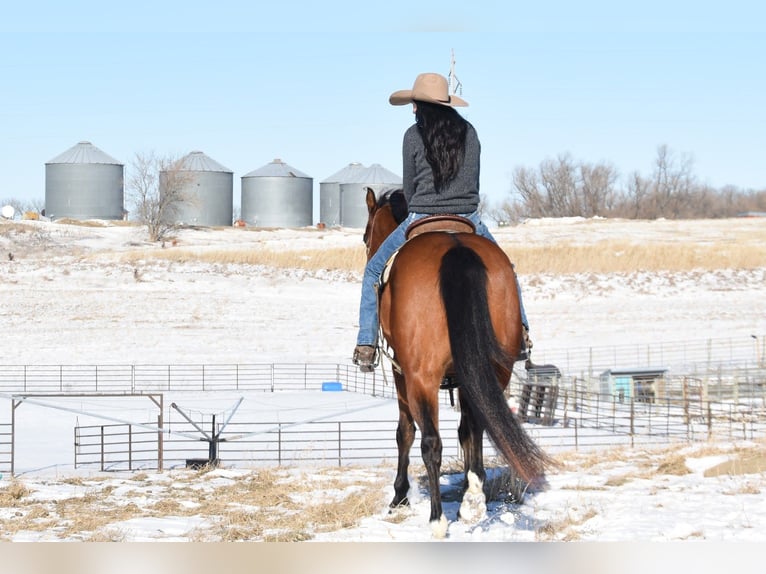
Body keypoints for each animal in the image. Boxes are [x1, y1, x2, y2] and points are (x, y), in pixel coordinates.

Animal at [362, 187, 552, 537]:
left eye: (366, 235)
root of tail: (456, 248)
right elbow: (467, 431)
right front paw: (469, 493)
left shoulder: (401, 374)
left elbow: (405, 432)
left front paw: (399, 497)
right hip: (494, 369)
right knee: (477, 425)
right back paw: (473, 501)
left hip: (422, 376)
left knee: (431, 442)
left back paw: (437, 519)